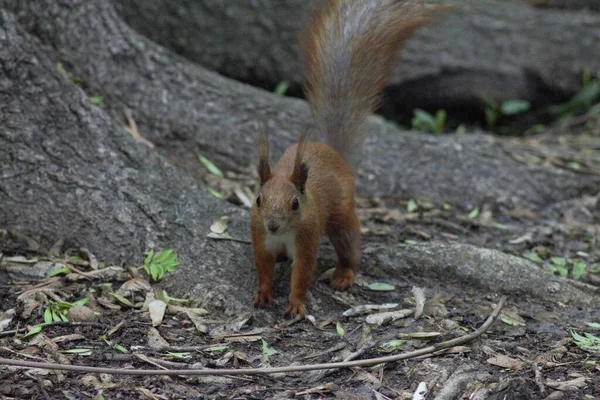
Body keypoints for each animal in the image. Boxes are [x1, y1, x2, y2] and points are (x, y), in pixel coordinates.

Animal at [248, 0, 440, 316]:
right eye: (258, 199)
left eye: (295, 203)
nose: (273, 224)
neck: (282, 234)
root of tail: (333, 152)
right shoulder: (260, 236)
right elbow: (263, 268)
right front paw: (263, 293)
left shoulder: (307, 237)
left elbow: (302, 273)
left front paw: (296, 304)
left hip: (341, 218)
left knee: (349, 246)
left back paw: (343, 275)